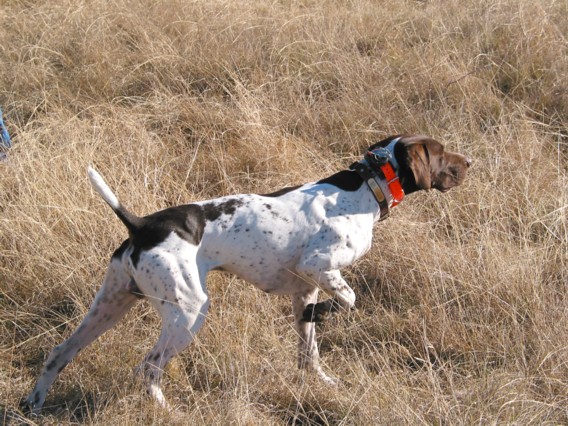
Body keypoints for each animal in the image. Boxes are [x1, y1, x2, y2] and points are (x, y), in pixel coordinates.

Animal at [23, 134, 470, 412]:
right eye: (441, 152)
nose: (470, 161)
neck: (366, 185)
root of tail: (143, 224)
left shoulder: (304, 290)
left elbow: (309, 350)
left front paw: (321, 381)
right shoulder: (318, 266)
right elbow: (349, 298)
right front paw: (330, 314)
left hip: (111, 305)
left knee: (59, 353)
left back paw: (33, 404)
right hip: (188, 313)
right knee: (148, 367)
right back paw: (167, 409)